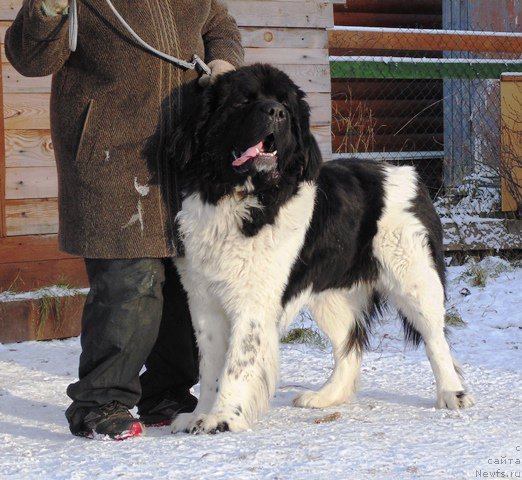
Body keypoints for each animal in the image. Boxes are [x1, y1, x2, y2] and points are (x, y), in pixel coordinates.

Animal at [170, 63, 472, 436]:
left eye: (286, 106)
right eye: (243, 101)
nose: (275, 112)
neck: (240, 196)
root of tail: (409, 174)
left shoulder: (252, 301)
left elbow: (237, 361)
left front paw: (223, 417)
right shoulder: (203, 299)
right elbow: (211, 364)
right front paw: (199, 414)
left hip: (415, 279)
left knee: (435, 339)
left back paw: (452, 394)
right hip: (332, 293)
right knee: (350, 345)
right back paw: (326, 396)